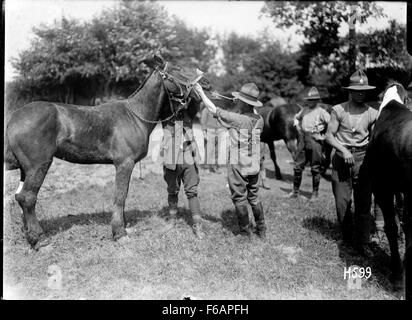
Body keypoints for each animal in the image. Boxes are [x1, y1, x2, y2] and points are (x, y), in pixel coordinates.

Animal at [4, 53, 208, 246]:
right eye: (178, 69)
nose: (205, 81)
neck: (135, 115)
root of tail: (13, 118)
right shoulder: (124, 164)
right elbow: (120, 196)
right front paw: (120, 233)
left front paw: (124, 228)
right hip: (38, 165)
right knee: (27, 197)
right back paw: (40, 240)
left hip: (26, 169)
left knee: (20, 197)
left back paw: (30, 235)